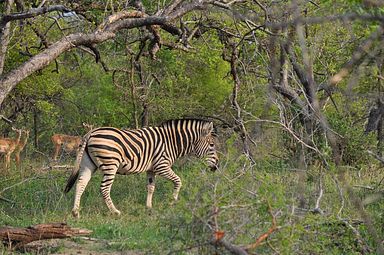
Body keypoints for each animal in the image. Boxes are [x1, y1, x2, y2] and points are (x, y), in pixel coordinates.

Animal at [64, 118, 218, 218]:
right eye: (212, 145)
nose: (216, 166)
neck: (172, 142)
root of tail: (91, 132)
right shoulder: (162, 165)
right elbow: (178, 181)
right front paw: (173, 201)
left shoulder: (151, 169)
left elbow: (150, 187)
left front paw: (149, 207)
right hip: (110, 164)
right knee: (104, 188)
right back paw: (115, 212)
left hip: (88, 164)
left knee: (81, 183)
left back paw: (75, 212)